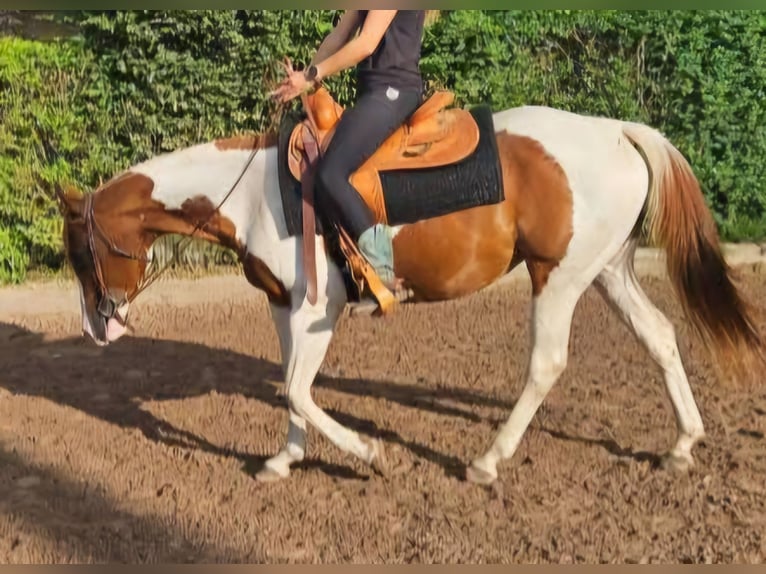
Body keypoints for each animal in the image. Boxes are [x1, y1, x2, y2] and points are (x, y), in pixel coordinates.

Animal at [55, 93, 764, 486]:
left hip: (558, 276)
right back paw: (682, 446)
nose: (99, 326)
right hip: (607, 270)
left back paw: (487, 460)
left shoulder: (318, 308)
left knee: (547, 363)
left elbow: (299, 390)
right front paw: (284, 461)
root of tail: (614, 129)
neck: (257, 193)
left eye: (81, 252)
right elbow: (290, 386)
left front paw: (369, 453)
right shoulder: (284, 307)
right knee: (661, 336)